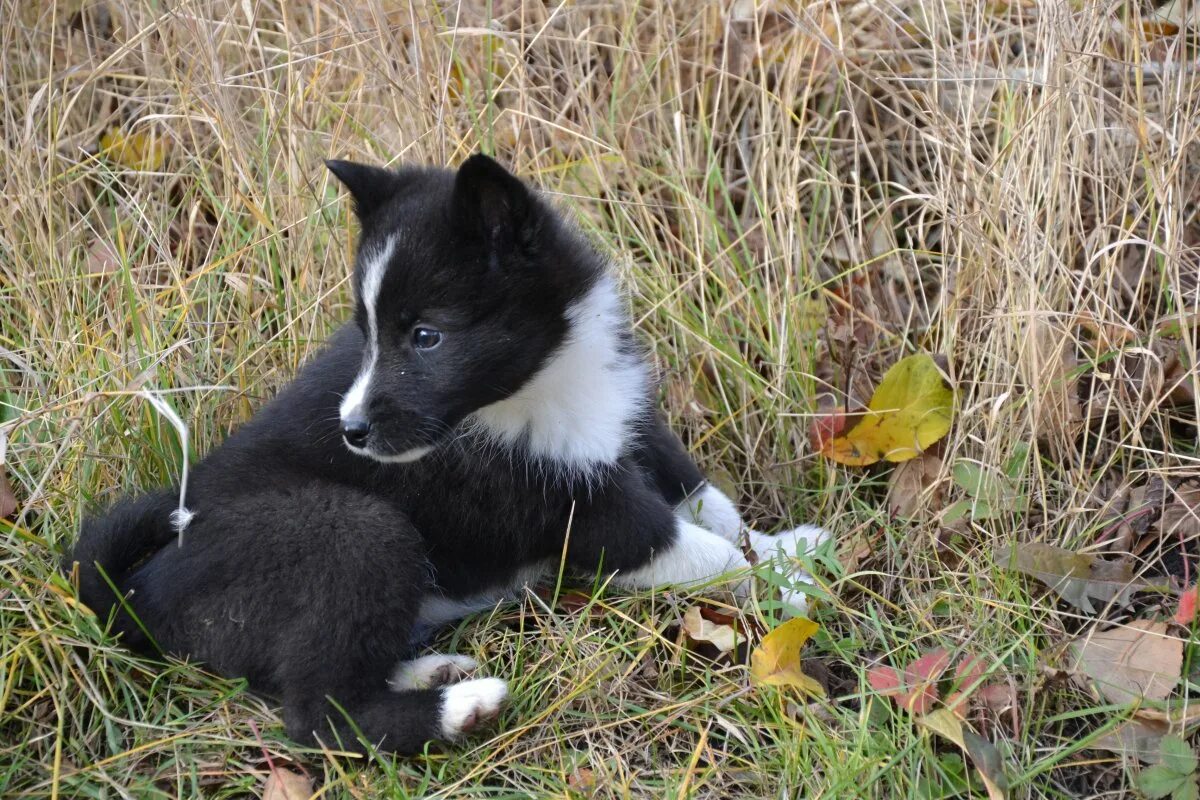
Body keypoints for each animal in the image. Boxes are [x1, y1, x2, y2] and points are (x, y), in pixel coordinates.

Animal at [70, 155, 830, 758]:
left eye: (426, 336)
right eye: (372, 332)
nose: (351, 431)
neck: (545, 381)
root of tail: (138, 595)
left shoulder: (630, 423)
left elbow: (714, 507)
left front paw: (789, 548)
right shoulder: (582, 511)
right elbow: (707, 550)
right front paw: (789, 592)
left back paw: (432, 672)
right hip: (354, 531)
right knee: (315, 712)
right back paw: (460, 709)